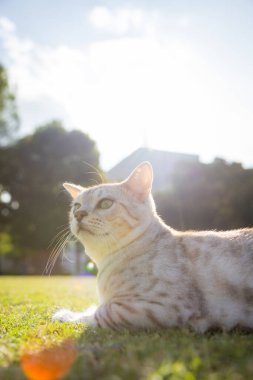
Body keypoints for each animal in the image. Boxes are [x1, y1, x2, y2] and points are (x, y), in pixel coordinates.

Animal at [53, 162, 253, 332]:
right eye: (76, 206)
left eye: (105, 203)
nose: (79, 214)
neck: (104, 263)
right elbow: (96, 307)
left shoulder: (157, 308)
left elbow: (99, 313)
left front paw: (67, 316)